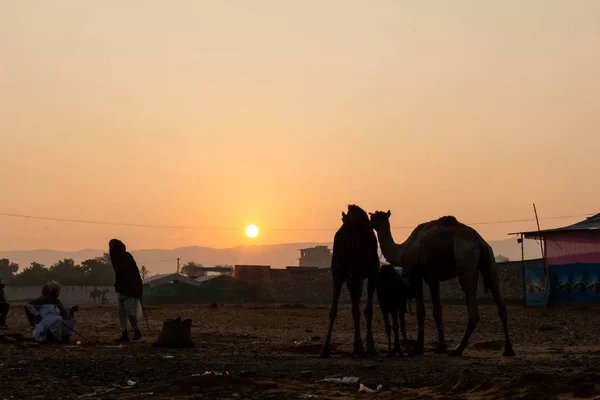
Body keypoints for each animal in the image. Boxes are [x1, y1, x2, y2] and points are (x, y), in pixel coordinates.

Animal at [322, 205, 378, 358]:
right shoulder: (372, 272)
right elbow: (368, 309)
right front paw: (369, 347)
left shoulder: (348, 276)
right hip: (357, 273)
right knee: (357, 308)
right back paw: (360, 348)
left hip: (338, 273)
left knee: (334, 308)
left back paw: (325, 349)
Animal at [370, 211, 516, 358]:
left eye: (374, 216)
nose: (370, 222)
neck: (402, 250)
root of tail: (479, 241)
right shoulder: (433, 279)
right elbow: (437, 312)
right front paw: (441, 348)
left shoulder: (416, 275)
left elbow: (421, 312)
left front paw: (419, 349)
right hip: (490, 261)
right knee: (500, 304)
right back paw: (508, 349)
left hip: (465, 260)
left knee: (473, 307)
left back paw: (458, 350)